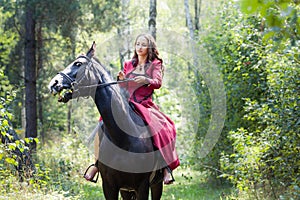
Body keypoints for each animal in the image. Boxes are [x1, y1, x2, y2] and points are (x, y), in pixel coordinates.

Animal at [48, 41, 164, 199]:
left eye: (78, 64)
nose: (53, 83)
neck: (124, 139)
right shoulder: (109, 186)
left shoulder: (143, 187)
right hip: (126, 190)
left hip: (156, 184)